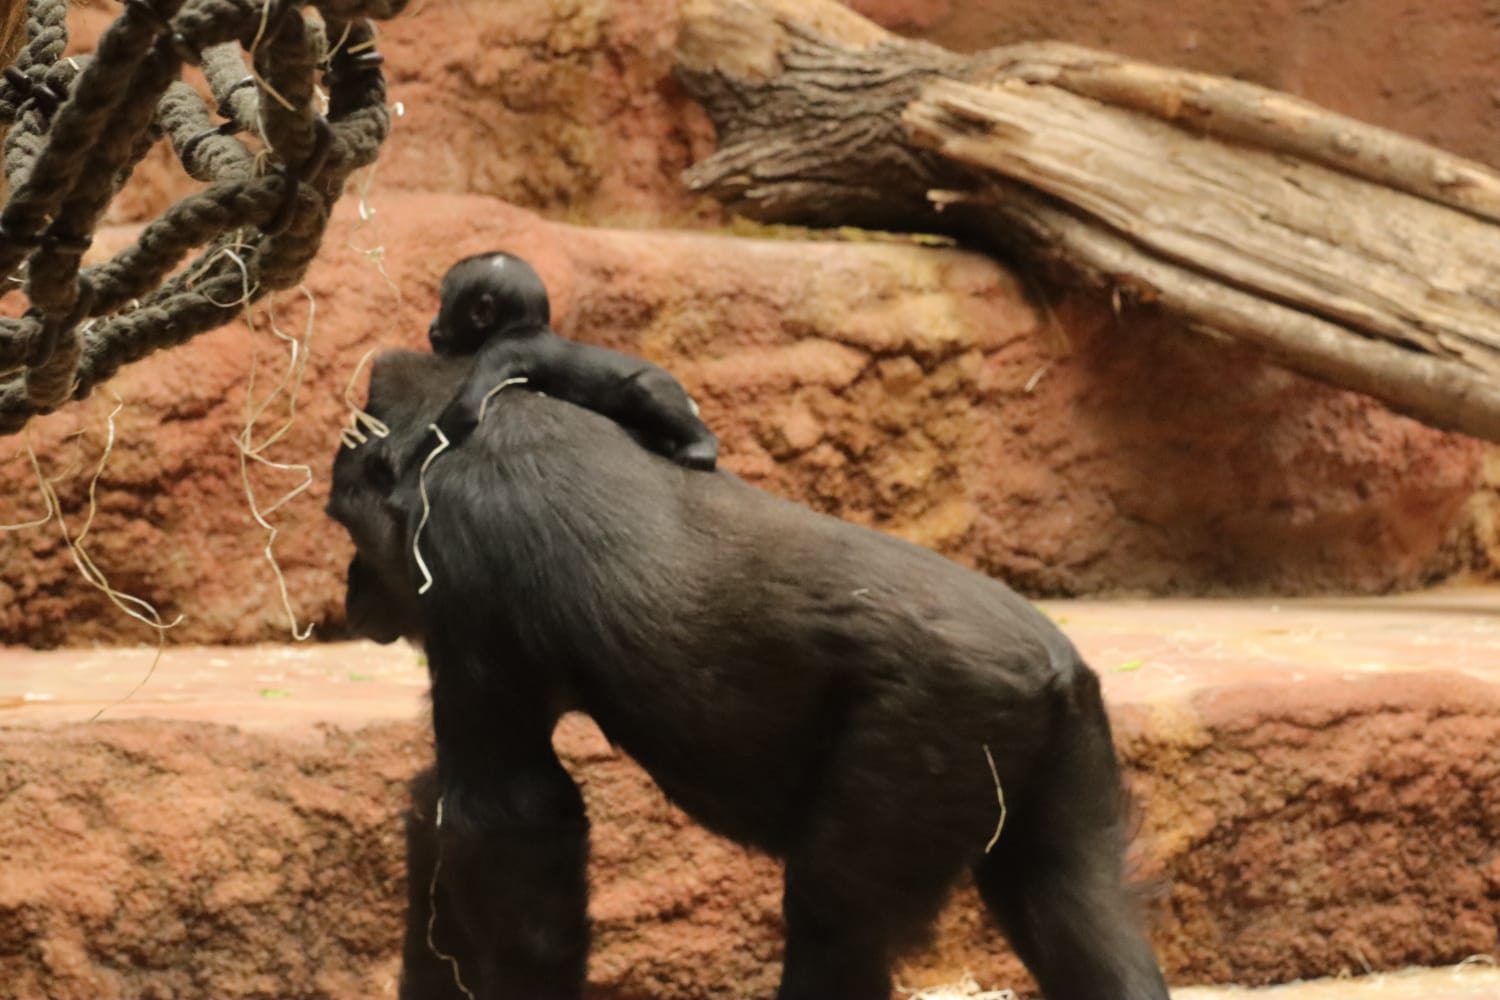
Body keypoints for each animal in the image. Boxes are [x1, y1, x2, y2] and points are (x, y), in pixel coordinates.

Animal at [326, 349, 1171, 1000]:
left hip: (946, 716)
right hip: (1062, 743)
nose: (352, 593)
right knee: (1075, 901)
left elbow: (505, 817)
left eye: (343, 520)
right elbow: (446, 815)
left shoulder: (458, 552)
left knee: (836, 917)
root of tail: (1054, 668)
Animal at [427, 251, 719, 471]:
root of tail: (690, 401)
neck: (522, 325)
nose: (432, 324)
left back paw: (703, 446)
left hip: (661, 386)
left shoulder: (500, 350)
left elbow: (468, 407)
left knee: (646, 391)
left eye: (443, 303)